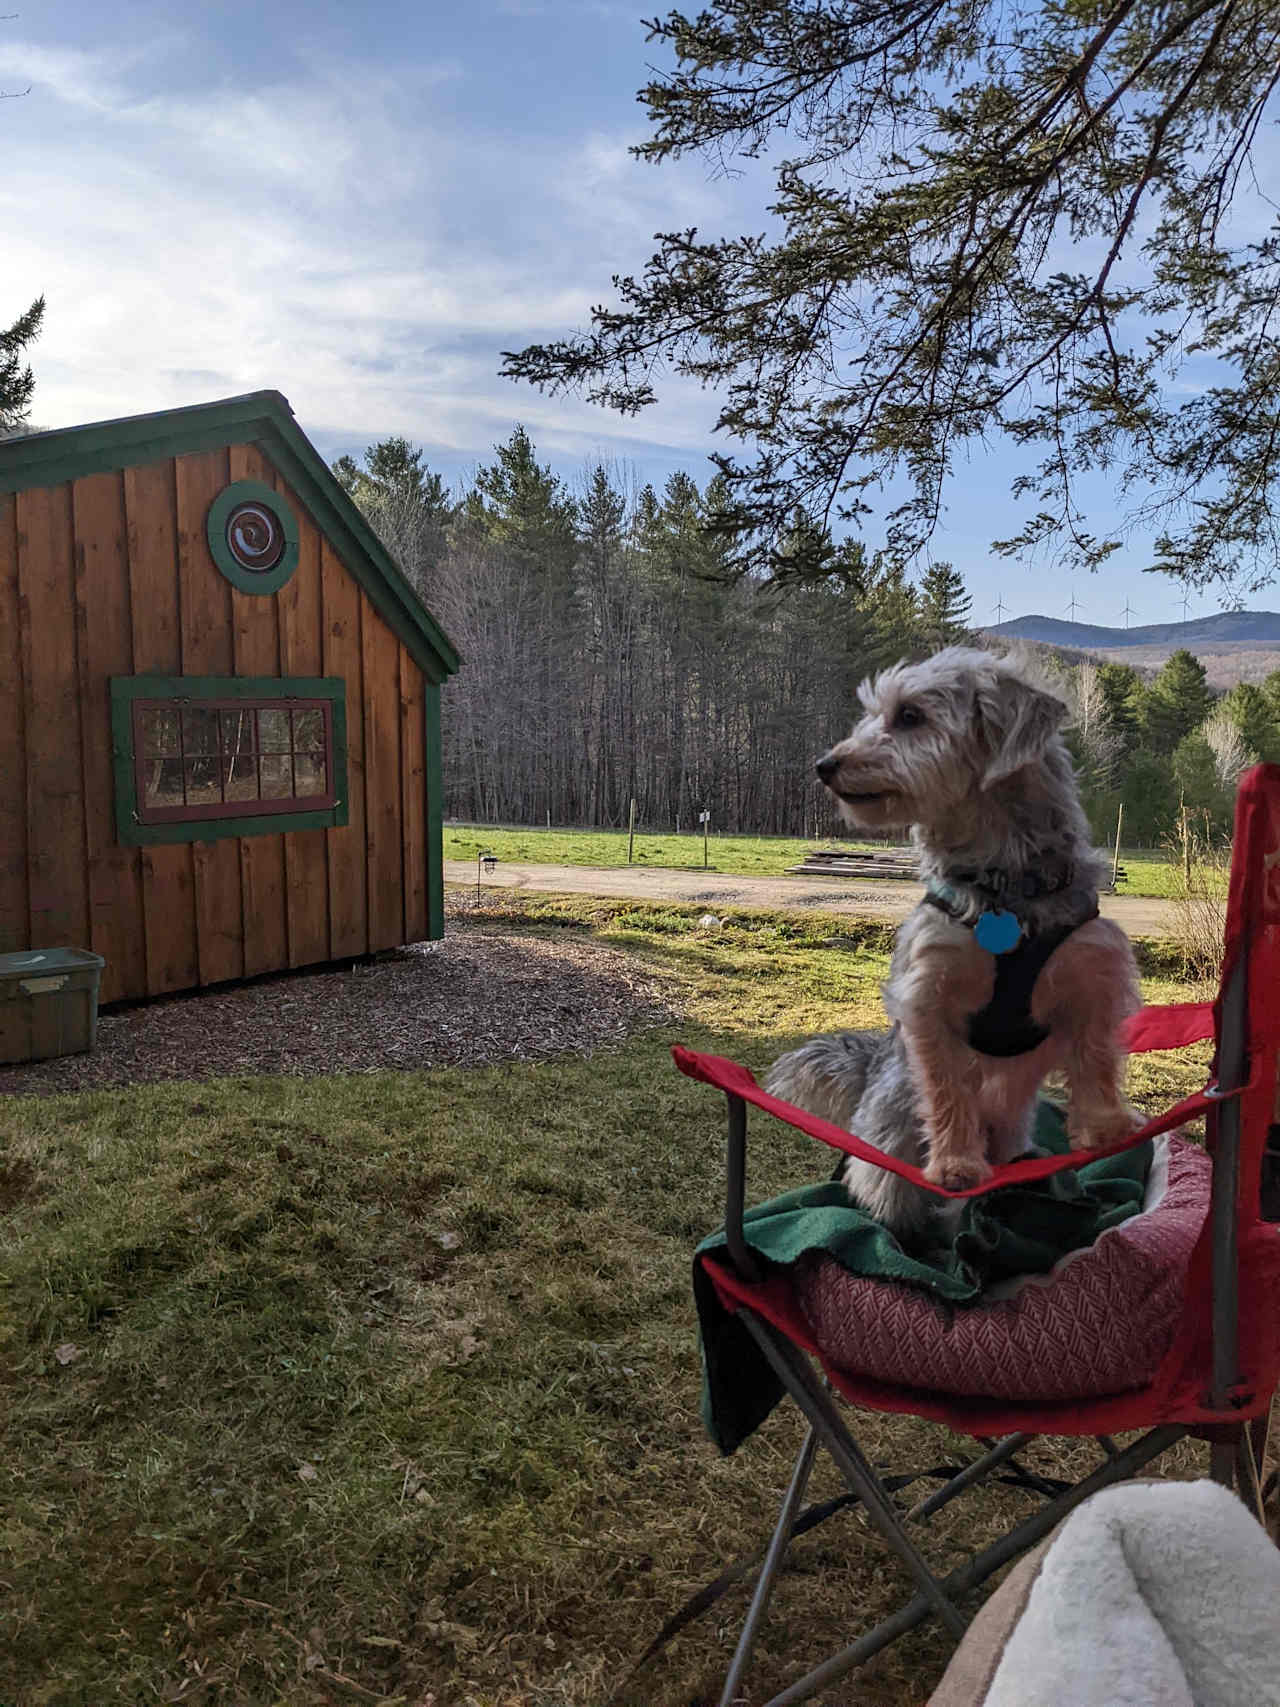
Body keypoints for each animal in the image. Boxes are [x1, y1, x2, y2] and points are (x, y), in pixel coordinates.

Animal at [768, 645, 1146, 1235]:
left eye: (909, 716)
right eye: (872, 714)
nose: (824, 765)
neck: (1003, 890)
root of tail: (871, 1067)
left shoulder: (1094, 975)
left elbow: (1098, 1057)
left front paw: (1106, 1127)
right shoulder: (930, 997)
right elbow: (948, 1093)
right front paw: (954, 1162)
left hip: (1011, 1135)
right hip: (890, 1146)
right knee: (889, 1193)